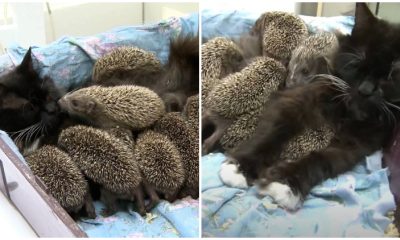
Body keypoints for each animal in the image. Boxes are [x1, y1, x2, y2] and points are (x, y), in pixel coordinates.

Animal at [223, 3, 400, 210]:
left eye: (393, 75)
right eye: (357, 63)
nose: (365, 90)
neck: (347, 112)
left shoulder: (357, 143)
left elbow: (322, 160)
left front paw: (286, 183)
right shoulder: (294, 101)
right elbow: (271, 133)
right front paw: (241, 167)